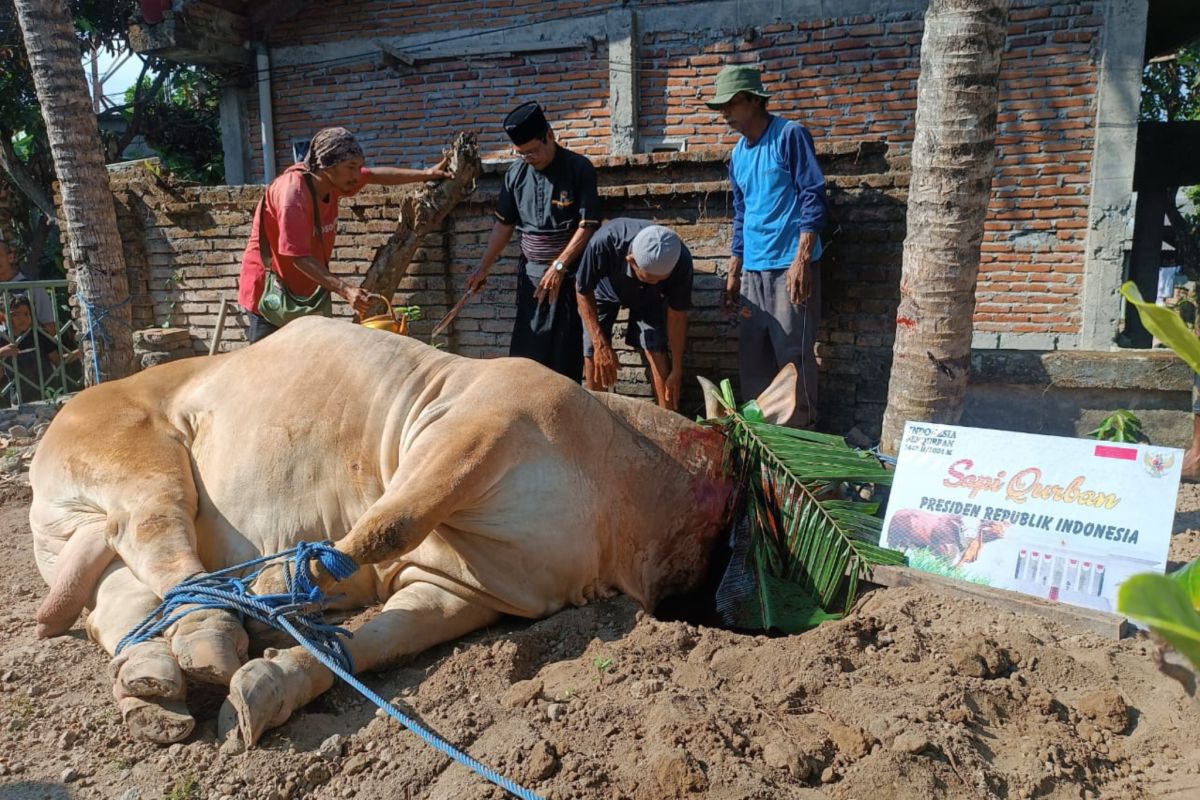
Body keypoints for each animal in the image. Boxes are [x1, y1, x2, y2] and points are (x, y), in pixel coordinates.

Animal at [30, 316, 796, 748]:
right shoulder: (480, 426)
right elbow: (380, 532)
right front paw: (287, 586)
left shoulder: (466, 588)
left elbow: (369, 644)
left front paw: (271, 686)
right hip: (143, 462)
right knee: (165, 544)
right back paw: (213, 635)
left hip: (93, 544)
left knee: (127, 601)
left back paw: (151, 684)